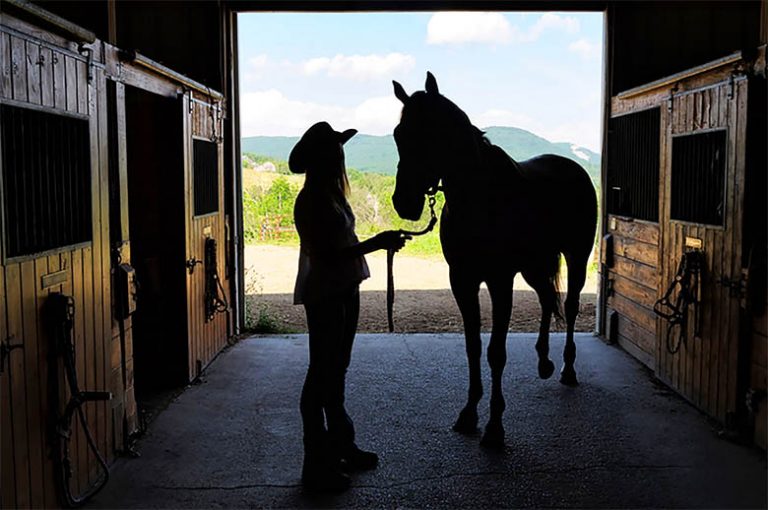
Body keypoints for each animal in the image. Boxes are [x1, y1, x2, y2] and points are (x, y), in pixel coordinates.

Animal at [391, 73, 597, 447]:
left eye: (432, 132)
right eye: (400, 134)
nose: (404, 202)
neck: (480, 198)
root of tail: (573, 167)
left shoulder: (500, 280)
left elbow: (496, 352)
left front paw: (494, 427)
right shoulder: (463, 279)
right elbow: (473, 346)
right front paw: (469, 413)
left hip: (576, 257)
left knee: (570, 306)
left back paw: (567, 368)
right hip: (533, 266)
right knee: (547, 299)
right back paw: (543, 361)